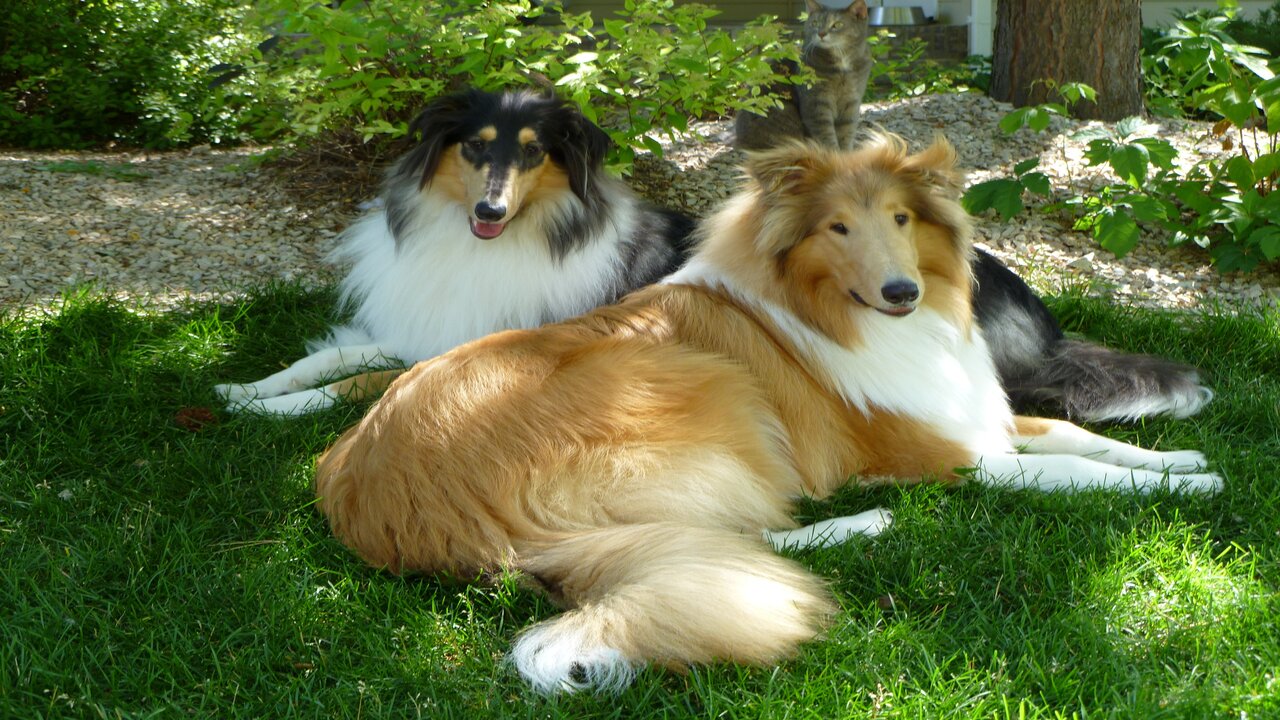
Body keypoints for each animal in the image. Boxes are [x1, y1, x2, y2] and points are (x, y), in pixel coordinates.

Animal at [737, 0, 875, 151]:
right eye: (815, 23)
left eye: (837, 24)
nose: (821, 33)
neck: (842, 63)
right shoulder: (816, 103)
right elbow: (826, 135)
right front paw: (833, 153)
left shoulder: (851, 101)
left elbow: (846, 132)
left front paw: (846, 154)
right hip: (782, 110)